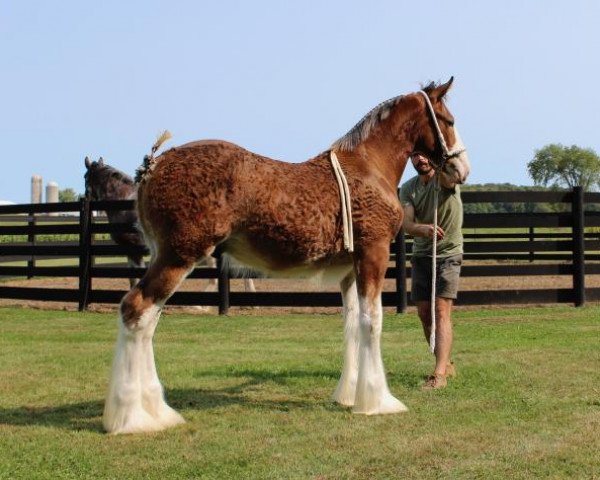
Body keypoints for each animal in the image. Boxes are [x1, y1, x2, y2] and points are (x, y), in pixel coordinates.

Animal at [103, 78, 472, 436]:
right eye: (449, 120)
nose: (462, 169)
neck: (368, 166)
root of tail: (154, 166)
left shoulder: (349, 269)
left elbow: (352, 324)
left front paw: (348, 395)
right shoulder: (374, 255)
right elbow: (372, 322)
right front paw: (378, 401)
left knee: (148, 321)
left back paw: (155, 411)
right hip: (178, 258)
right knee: (136, 310)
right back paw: (132, 418)